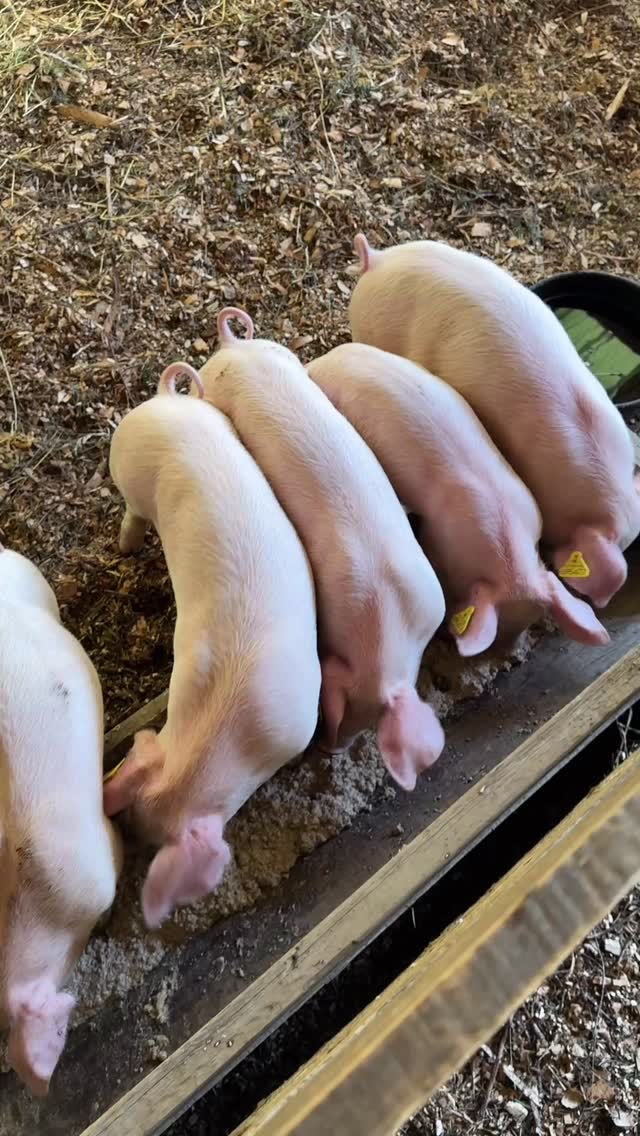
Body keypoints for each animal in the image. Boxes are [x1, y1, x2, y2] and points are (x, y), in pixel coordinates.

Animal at [196, 308, 447, 791]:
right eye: (341, 708)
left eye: (368, 723)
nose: (333, 749)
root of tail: (233, 345)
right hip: (213, 390)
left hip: (282, 355)